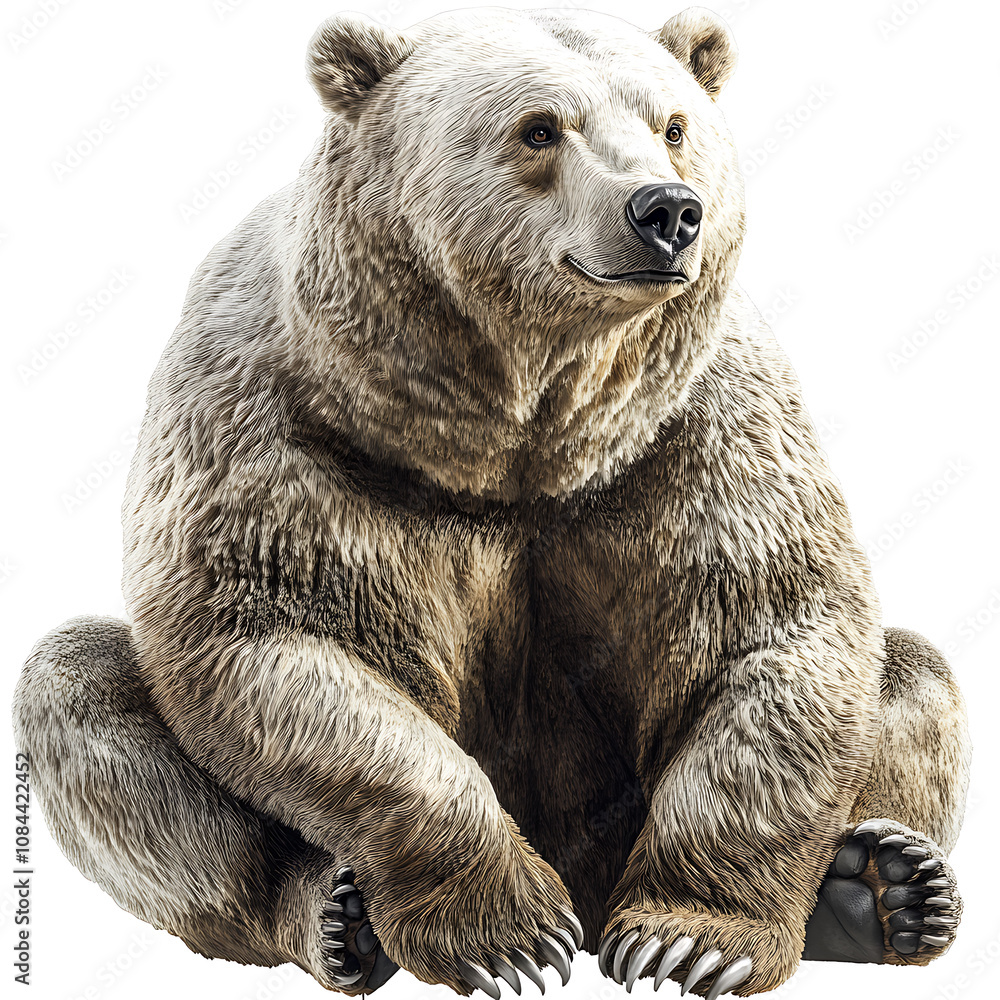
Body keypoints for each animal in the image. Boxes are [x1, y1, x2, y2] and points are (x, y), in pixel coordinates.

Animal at [12, 5, 971, 999]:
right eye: (540, 128)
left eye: (673, 125)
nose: (667, 211)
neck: (510, 434)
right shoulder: (275, 421)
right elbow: (277, 638)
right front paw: (506, 931)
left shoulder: (695, 426)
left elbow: (772, 624)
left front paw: (689, 940)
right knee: (87, 701)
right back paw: (336, 915)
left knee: (916, 676)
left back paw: (885, 887)